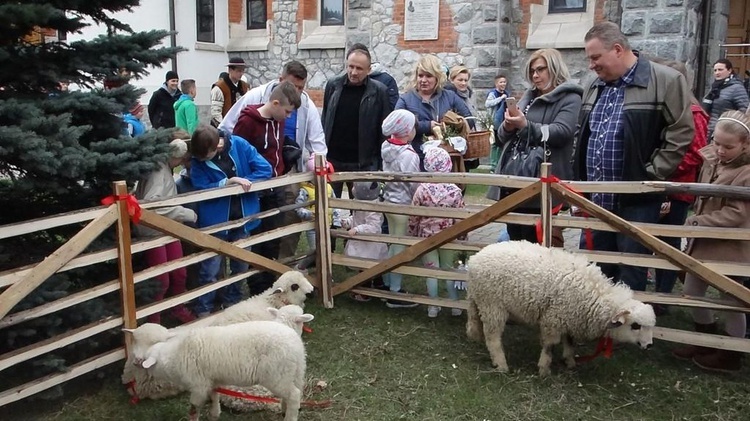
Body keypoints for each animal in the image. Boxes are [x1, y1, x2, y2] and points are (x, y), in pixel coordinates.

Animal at [125, 306, 312, 420]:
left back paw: (290, 417)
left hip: (276, 376)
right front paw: (214, 414)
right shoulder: (212, 379)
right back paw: (285, 410)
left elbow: (194, 408)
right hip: (295, 372)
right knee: (295, 392)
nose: (137, 361)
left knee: (294, 395)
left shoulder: (198, 385)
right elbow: (214, 396)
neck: (176, 355)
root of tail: (294, 342)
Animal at [468, 241, 656, 376]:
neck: (596, 297)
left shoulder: (569, 315)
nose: (649, 345)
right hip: (493, 305)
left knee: (475, 322)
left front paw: (570, 362)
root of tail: (474, 259)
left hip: (478, 300)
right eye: (635, 326)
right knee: (493, 337)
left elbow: (570, 341)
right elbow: (549, 346)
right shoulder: (553, 319)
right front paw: (544, 370)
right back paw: (501, 364)